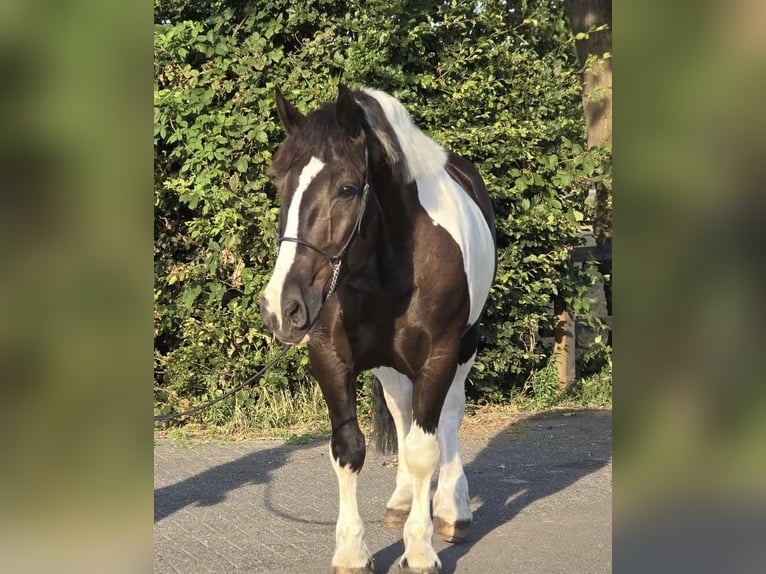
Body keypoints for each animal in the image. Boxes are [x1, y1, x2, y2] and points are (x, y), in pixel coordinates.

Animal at [260, 84, 496, 574]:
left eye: (347, 189)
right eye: (279, 184)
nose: (282, 307)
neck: (387, 270)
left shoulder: (439, 354)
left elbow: (426, 449)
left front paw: (421, 550)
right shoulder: (330, 356)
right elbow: (350, 449)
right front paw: (352, 552)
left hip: (465, 346)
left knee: (449, 417)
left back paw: (452, 510)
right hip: (390, 364)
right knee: (404, 413)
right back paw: (403, 501)